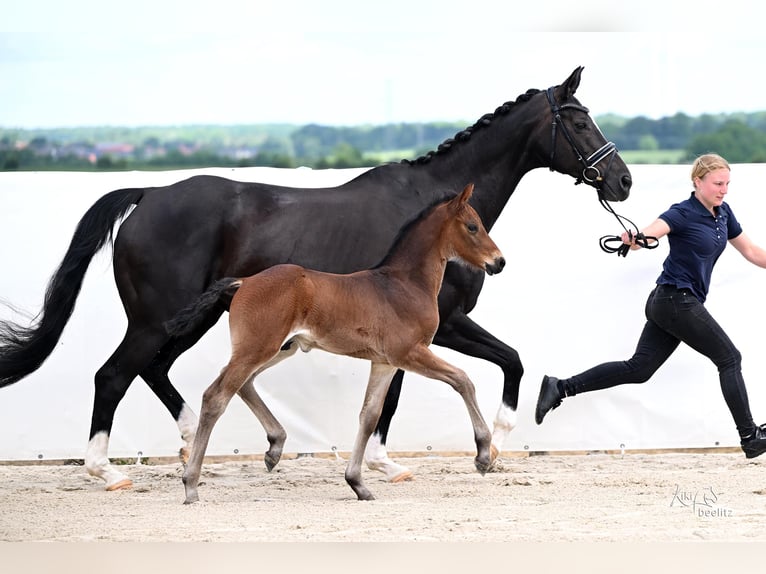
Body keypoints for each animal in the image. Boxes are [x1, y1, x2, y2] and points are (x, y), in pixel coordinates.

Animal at [166, 183, 505, 502]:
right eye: (472, 226)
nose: (499, 262)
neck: (403, 285)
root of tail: (244, 281)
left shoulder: (384, 362)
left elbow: (369, 416)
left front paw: (358, 484)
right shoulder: (409, 352)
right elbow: (463, 380)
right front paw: (483, 456)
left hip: (278, 348)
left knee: (243, 384)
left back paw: (274, 449)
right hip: (258, 348)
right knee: (216, 396)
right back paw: (191, 484)